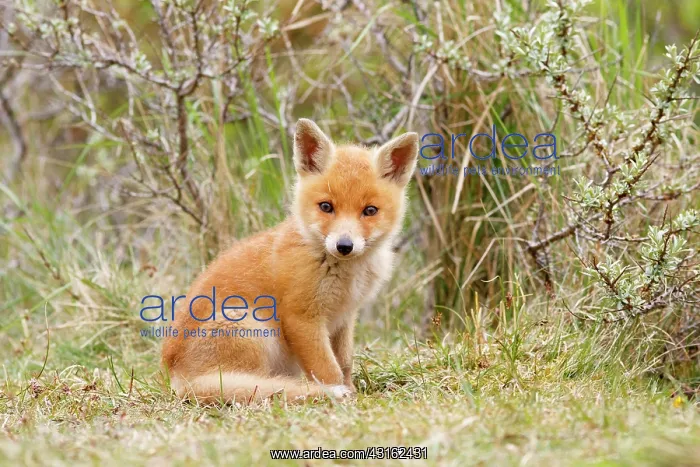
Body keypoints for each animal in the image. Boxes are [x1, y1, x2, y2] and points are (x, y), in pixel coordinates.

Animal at [161, 119, 419, 404]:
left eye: (370, 211)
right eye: (326, 206)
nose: (344, 246)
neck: (345, 274)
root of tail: (176, 378)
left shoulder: (344, 318)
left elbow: (344, 364)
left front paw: (351, 390)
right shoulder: (302, 318)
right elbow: (328, 371)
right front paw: (341, 398)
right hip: (251, 328)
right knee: (254, 385)